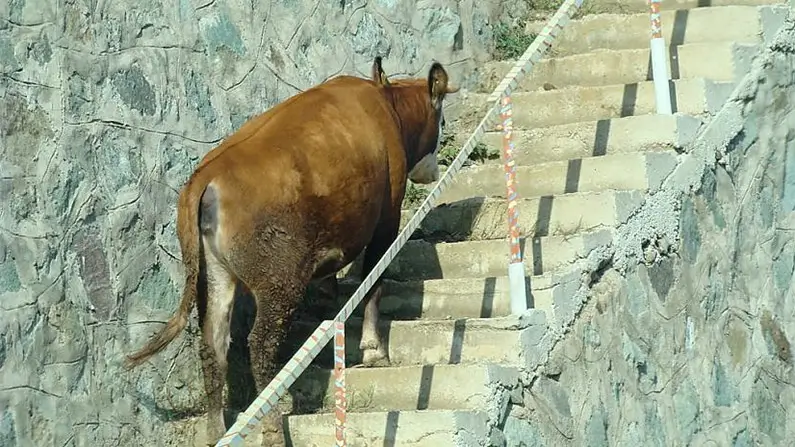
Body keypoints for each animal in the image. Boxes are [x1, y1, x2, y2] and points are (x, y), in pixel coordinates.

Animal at [123, 56, 458, 445]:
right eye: (441, 118)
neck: (385, 103)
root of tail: (206, 177)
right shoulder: (388, 213)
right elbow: (375, 278)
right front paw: (374, 349)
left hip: (215, 276)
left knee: (213, 347)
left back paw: (216, 431)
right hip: (279, 281)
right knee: (260, 346)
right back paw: (271, 429)